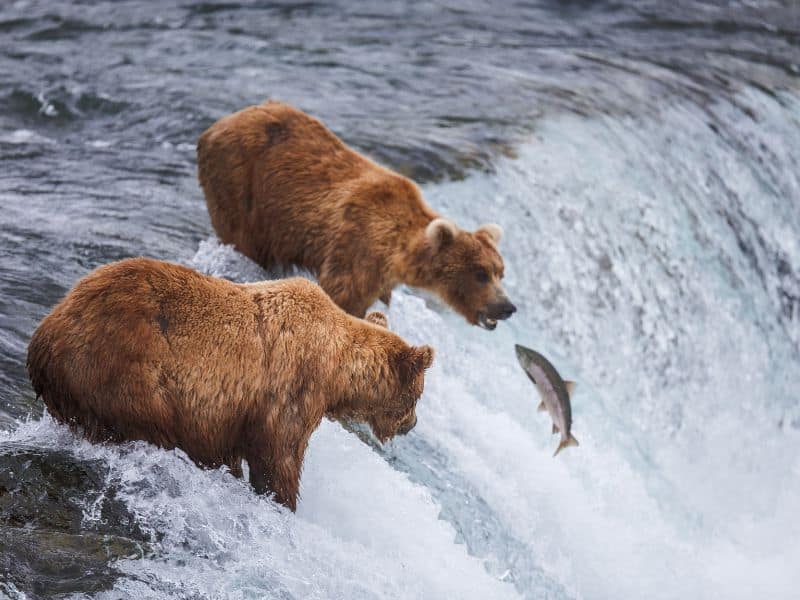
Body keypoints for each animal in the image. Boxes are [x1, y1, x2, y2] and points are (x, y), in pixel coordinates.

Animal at [26, 258, 433, 511]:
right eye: (418, 394)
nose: (413, 425)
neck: (336, 370)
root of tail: (45, 335)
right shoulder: (289, 389)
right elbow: (279, 458)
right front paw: (282, 500)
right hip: (124, 371)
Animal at [197, 100, 516, 330]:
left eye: (500, 271)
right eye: (480, 273)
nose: (506, 307)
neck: (396, 252)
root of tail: (218, 124)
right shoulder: (356, 251)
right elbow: (343, 298)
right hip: (241, 186)